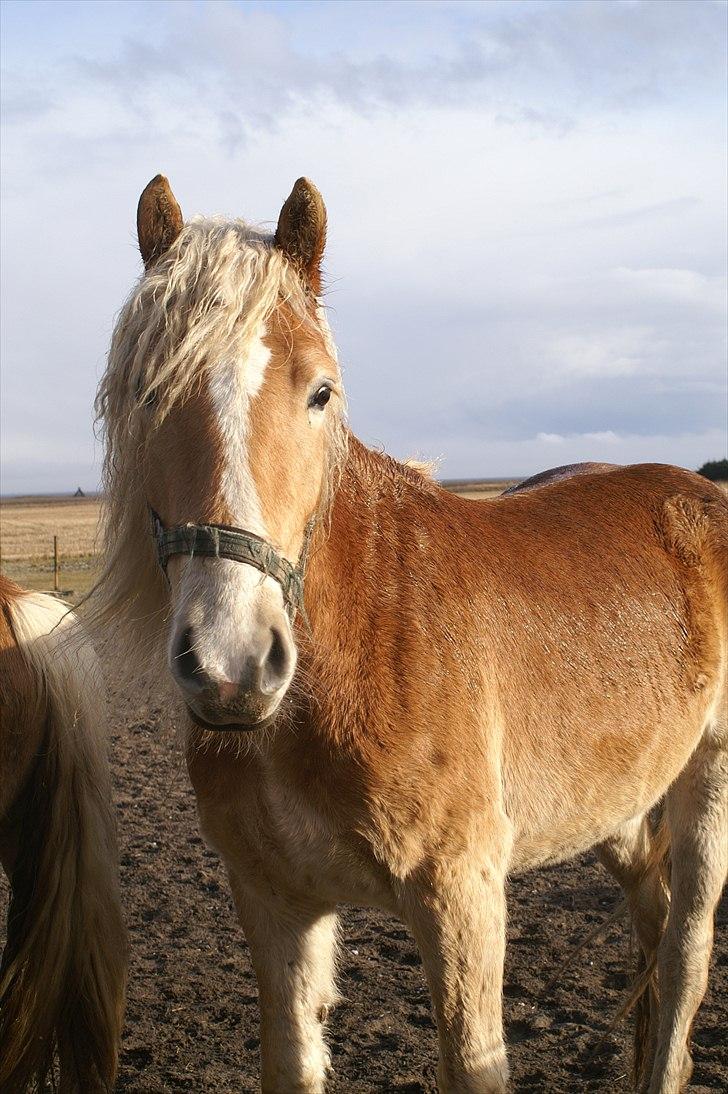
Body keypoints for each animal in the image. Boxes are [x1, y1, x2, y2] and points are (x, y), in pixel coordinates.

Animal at [92, 175, 726, 1089]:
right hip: (615, 802)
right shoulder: (275, 901)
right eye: (148, 394)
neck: (356, 649)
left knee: (683, 956)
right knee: (651, 916)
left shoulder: (459, 897)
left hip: (708, 781)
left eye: (320, 392)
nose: (232, 665)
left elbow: (474, 1060)